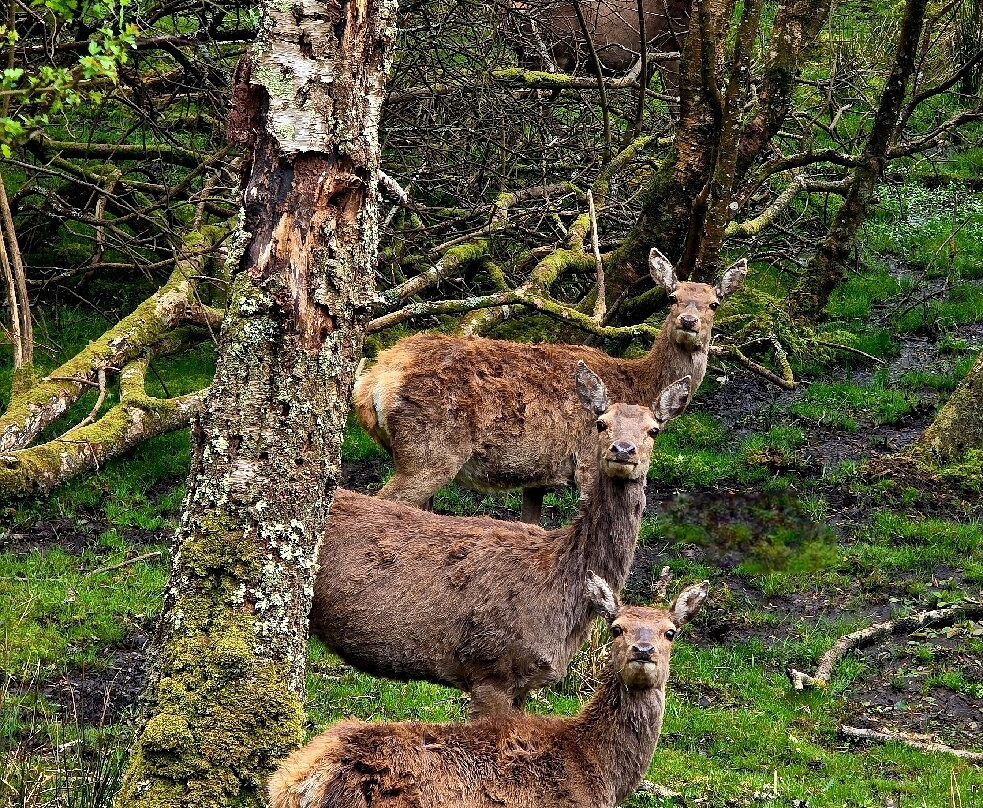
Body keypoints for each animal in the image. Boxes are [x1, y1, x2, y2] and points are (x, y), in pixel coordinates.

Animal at [354, 247, 747, 522]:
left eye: (714, 303)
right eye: (672, 297)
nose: (688, 321)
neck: (639, 384)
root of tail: (374, 381)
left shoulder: (538, 477)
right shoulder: (589, 461)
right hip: (430, 452)